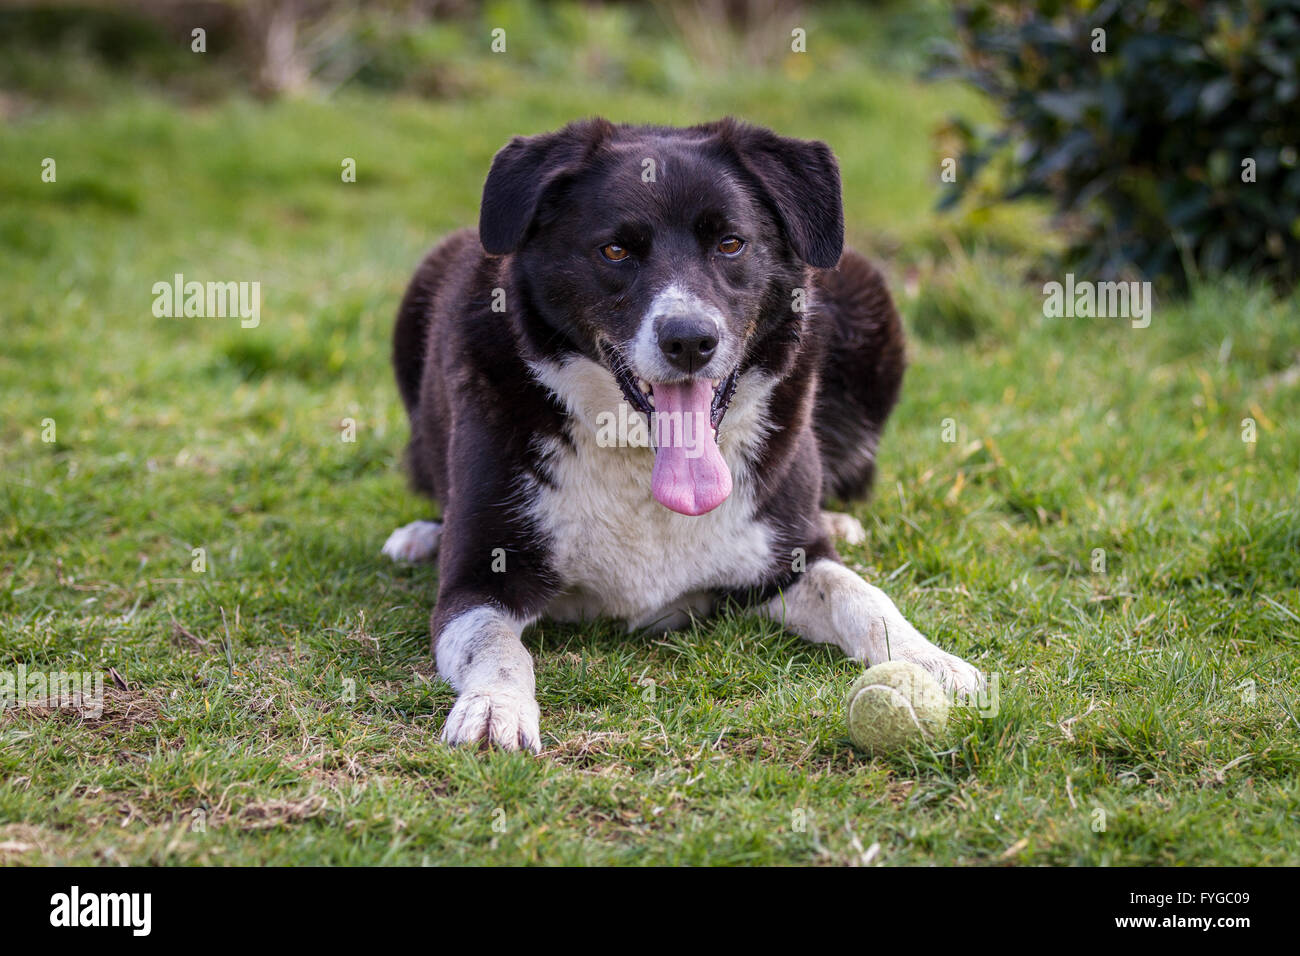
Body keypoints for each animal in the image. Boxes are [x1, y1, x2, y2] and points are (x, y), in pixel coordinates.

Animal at [379, 115, 977, 749]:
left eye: (731, 243)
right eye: (615, 250)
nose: (690, 340)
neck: (640, 455)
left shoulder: (786, 563)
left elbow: (859, 594)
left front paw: (930, 660)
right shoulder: (476, 582)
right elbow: (496, 646)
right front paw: (496, 706)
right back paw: (421, 534)